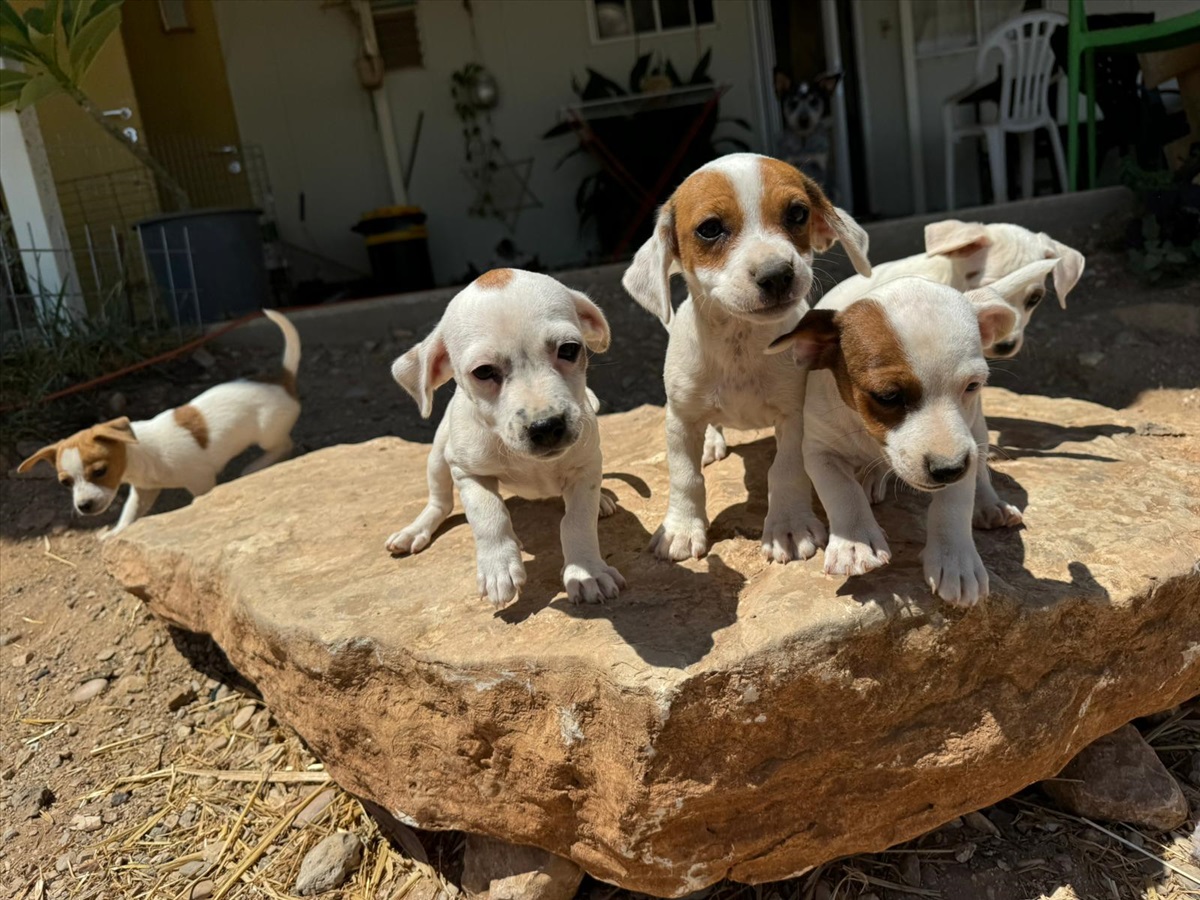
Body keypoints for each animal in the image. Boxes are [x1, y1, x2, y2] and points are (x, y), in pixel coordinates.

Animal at [18, 309, 302, 540]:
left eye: (100, 471)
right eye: (65, 483)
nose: (84, 506)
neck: (141, 455)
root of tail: (281, 380)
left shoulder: (201, 482)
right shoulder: (143, 492)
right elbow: (129, 512)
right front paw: (116, 532)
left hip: (267, 433)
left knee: (286, 445)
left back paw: (256, 465)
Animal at [386, 266, 628, 607]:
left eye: (569, 349)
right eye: (484, 372)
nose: (546, 426)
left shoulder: (586, 467)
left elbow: (577, 520)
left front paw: (587, 571)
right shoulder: (468, 473)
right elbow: (489, 516)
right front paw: (498, 568)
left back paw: (603, 500)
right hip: (437, 458)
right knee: (440, 503)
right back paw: (415, 530)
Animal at [619, 153, 873, 564]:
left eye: (797, 213)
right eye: (709, 229)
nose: (777, 275)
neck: (740, 343)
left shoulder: (794, 416)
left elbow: (785, 470)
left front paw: (788, 526)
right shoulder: (680, 419)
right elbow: (685, 477)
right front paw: (681, 528)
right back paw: (711, 441)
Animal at [768, 278, 1022, 609]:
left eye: (973, 386)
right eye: (888, 396)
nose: (949, 469)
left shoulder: (964, 444)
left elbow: (954, 503)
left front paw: (956, 561)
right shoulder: (819, 450)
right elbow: (842, 491)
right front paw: (855, 544)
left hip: (977, 428)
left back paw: (990, 505)